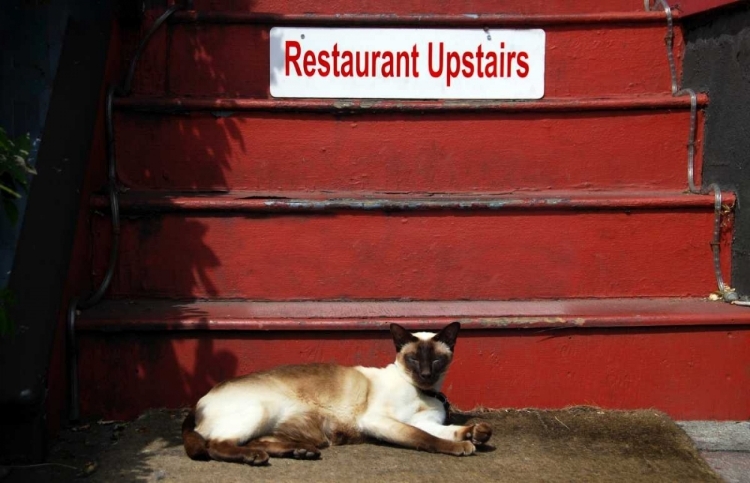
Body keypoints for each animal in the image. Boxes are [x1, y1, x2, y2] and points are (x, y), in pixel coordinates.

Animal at [180, 322, 490, 466]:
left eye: (436, 360)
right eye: (414, 359)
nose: (425, 375)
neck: (424, 392)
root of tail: (200, 400)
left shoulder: (426, 422)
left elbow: (447, 431)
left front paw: (477, 433)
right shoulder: (381, 422)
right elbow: (424, 438)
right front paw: (462, 447)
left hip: (280, 427)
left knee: (257, 441)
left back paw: (300, 452)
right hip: (261, 410)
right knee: (216, 445)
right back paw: (254, 457)